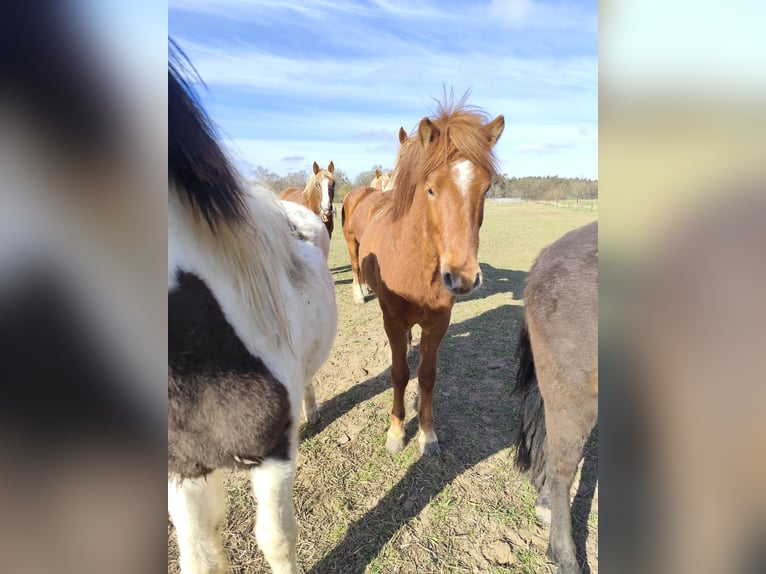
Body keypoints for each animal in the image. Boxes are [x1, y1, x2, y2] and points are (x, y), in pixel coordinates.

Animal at [342, 95, 504, 455]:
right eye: (430, 189)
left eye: (486, 188)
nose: (462, 277)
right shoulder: (392, 318)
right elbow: (399, 374)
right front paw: (396, 432)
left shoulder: (438, 323)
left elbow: (427, 376)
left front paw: (428, 435)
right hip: (351, 244)